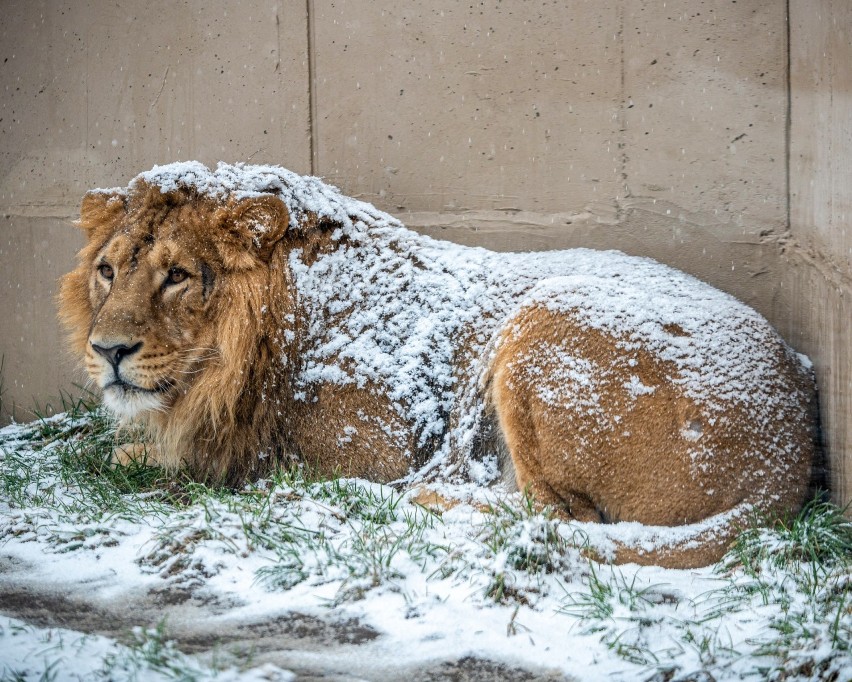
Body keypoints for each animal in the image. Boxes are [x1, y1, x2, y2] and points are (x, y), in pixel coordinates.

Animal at [56, 162, 816, 564]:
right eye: (106, 271)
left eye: (178, 276)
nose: (108, 351)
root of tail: (790, 453)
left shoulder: (376, 447)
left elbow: (228, 463)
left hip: (543, 314)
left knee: (558, 516)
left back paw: (421, 500)